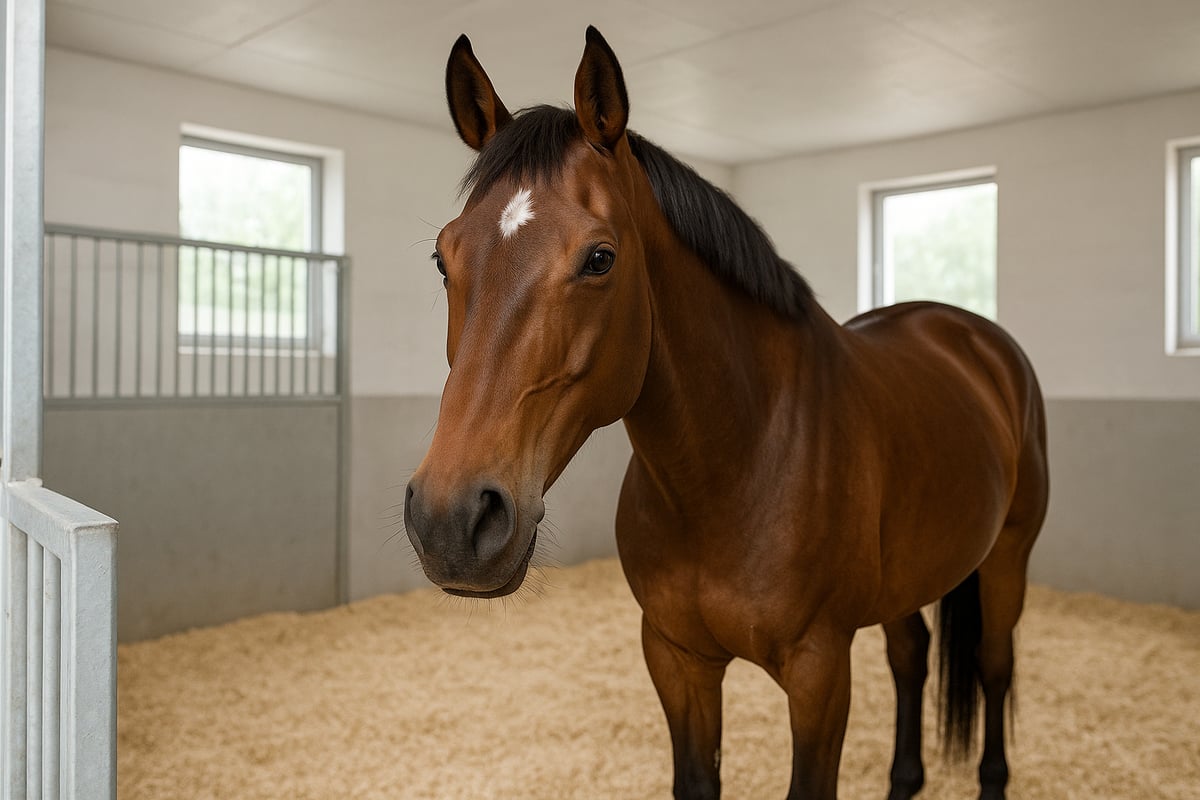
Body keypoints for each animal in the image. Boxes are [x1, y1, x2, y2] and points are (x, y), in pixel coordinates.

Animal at [403, 26, 1049, 800]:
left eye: (600, 259)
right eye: (443, 259)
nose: (450, 522)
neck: (735, 464)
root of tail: (974, 337)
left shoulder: (819, 673)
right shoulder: (677, 658)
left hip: (1007, 555)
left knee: (994, 664)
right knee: (911, 656)